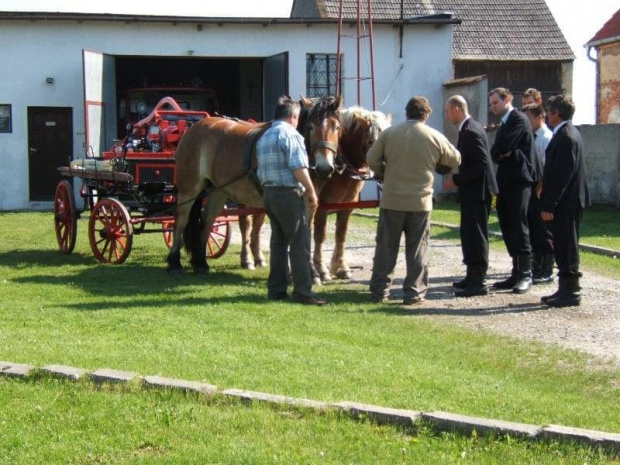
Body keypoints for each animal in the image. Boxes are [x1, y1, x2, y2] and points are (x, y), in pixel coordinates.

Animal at [168, 96, 344, 274]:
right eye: (311, 127)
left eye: (336, 127)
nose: (325, 167)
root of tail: (193, 128)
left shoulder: (308, 205)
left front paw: (311, 271)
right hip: (189, 189)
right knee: (181, 219)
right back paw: (175, 261)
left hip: (217, 191)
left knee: (207, 221)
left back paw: (201, 263)